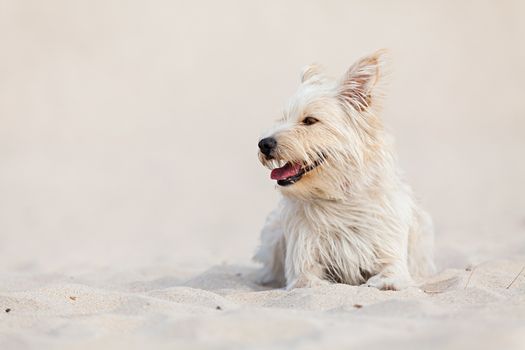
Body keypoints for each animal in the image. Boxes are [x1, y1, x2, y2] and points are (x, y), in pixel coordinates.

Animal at [254, 50, 434, 290]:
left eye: (309, 120)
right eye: (283, 119)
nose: (264, 144)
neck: (339, 200)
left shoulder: (392, 259)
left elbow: (389, 277)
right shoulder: (303, 268)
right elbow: (310, 282)